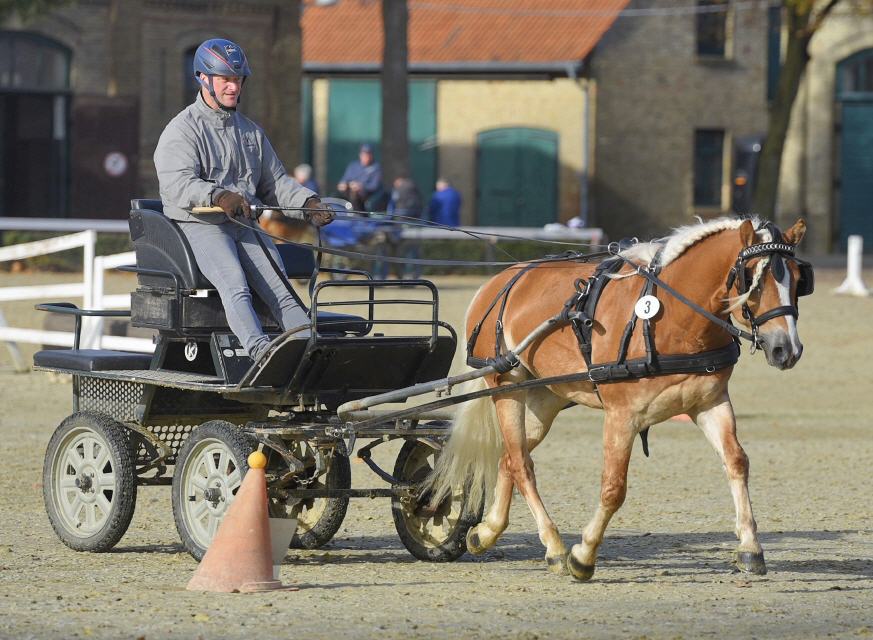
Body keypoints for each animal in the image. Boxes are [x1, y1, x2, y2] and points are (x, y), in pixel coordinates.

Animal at [426, 215, 816, 580]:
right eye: (753, 278)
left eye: (799, 278)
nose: (787, 349)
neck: (672, 316)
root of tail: (500, 280)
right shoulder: (621, 415)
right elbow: (613, 487)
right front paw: (583, 555)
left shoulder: (710, 403)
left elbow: (736, 463)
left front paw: (750, 547)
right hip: (507, 387)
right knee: (522, 464)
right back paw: (554, 546)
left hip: (543, 398)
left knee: (510, 456)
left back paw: (487, 532)